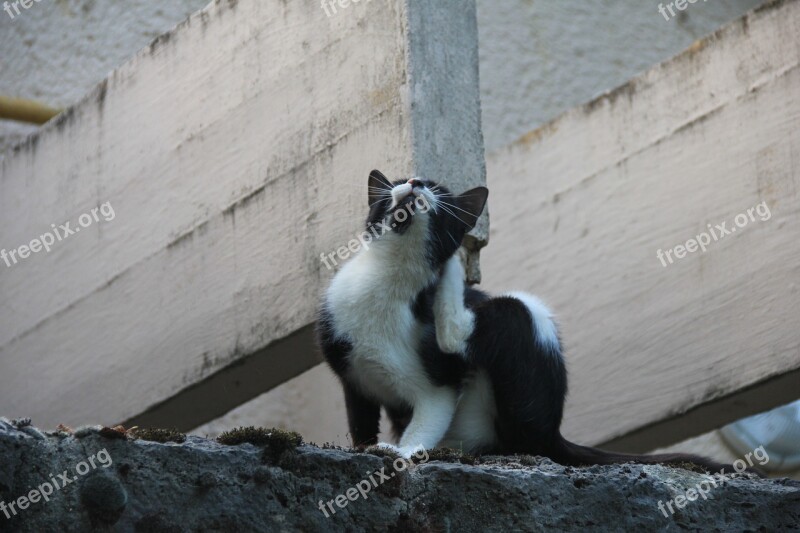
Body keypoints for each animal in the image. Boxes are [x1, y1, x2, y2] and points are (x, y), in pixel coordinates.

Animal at [318, 169, 724, 470]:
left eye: (438, 189)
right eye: (399, 180)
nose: (415, 182)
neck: (390, 277)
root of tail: (554, 432)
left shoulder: (438, 386)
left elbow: (428, 415)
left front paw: (401, 452)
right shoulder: (351, 373)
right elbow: (361, 419)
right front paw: (366, 447)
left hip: (523, 325)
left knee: (487, 329)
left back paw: (454, 269)